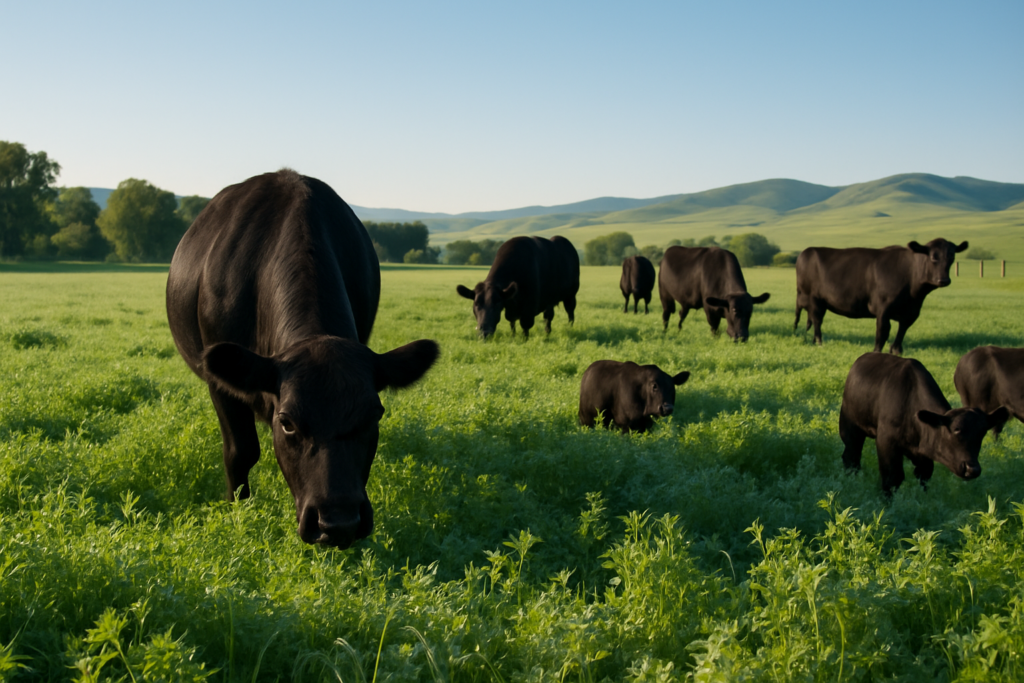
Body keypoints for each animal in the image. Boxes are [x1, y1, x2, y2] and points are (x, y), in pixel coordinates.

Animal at [166, 170, 439, 548]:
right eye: (288, 423)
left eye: (373, 416)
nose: (338, 523)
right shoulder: (220, 384)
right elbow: (240, 451)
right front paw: (237, 512)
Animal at [795, 239, 968, 355]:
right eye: (933, 257)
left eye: (952, 257)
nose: (943, 280)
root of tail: (807, 251)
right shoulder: (883, 308)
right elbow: (882, 331)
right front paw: (876, 351)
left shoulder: (911, 312)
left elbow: (902, 330)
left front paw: (896, 350)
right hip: (813, 299)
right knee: (817, 320)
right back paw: (819, 342)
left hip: (821, 302)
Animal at [839, 352, 1008, 494]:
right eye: (955, 429)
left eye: (982, 432)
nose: (972, 469)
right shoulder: (886, 442)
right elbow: (892, 478)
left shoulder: (924, 455)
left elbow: (924, 477)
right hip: (850, 427)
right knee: (851, 456)